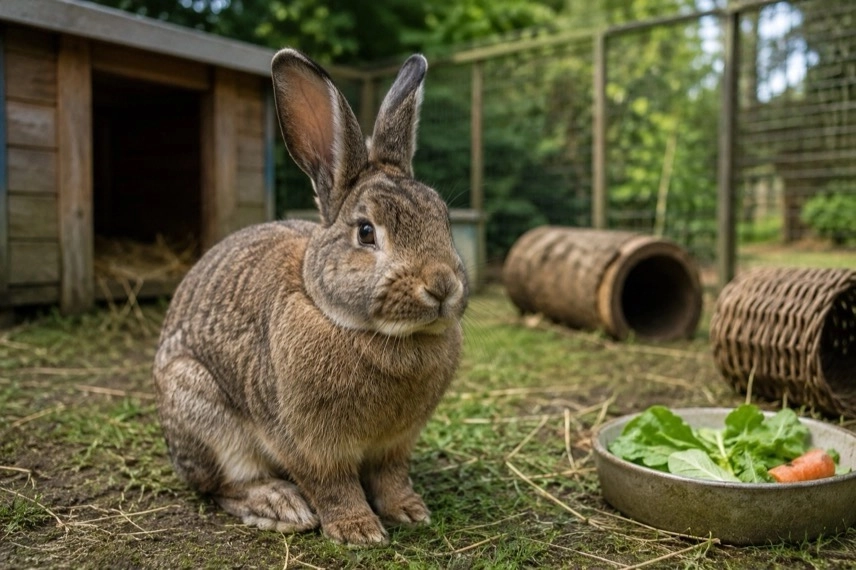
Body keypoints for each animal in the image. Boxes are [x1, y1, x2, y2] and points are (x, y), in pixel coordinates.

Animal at [153, 48, 468, 546]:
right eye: (366, 232)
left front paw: (409, 510)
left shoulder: (396, 445)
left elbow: (390, 476)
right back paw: (278, 505)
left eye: (443, 219)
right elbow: (332, 485)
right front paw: (358, 530)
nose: (442, 286)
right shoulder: (307, 444)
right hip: (198, 407)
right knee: (219, 485)